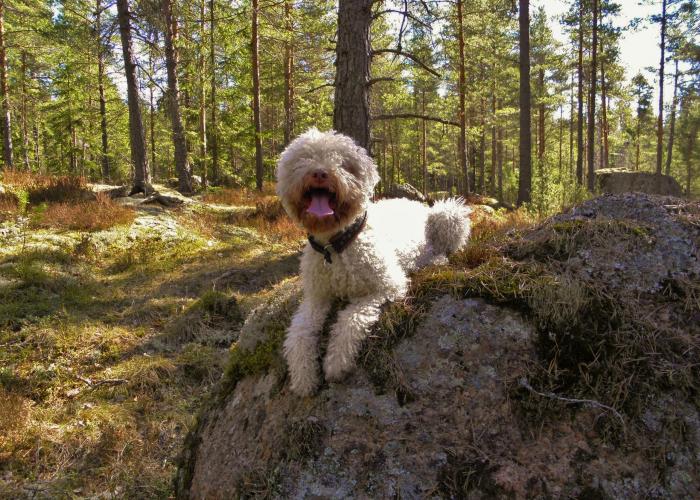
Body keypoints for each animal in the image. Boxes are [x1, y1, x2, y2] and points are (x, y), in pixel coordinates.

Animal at [274, 130, 470, 398]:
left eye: (344, 164)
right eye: (303, 159)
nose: (320, 173)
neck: (335, 248)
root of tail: (417, 204)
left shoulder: (386, 286)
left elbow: (351, 319)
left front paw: (336, 363)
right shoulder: (316, 297)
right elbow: (299, 333)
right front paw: (303, 376)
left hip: (448, 214)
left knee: (448, 249)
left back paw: (435, 261)